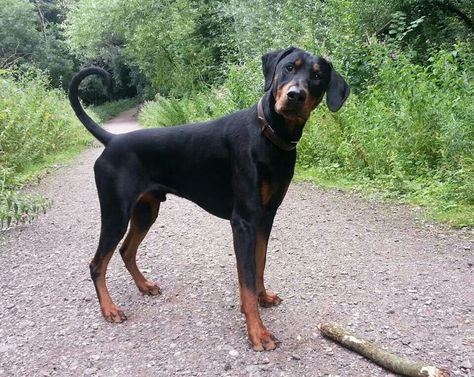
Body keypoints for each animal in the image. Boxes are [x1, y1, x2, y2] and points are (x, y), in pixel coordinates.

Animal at [68, 47, 348, 350]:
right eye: (288, 67)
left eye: (318, 76)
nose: (296, 95)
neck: (270, 136)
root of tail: (112, 140)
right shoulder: (243, 222)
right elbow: (247, 279)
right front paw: (257, 332)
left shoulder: (266, 217)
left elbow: (259, 265)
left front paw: (263, 298)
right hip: (115, 214)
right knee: (97, 264)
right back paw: (109, 309)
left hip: (146, 211)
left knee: (126, 250)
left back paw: (145, 286)